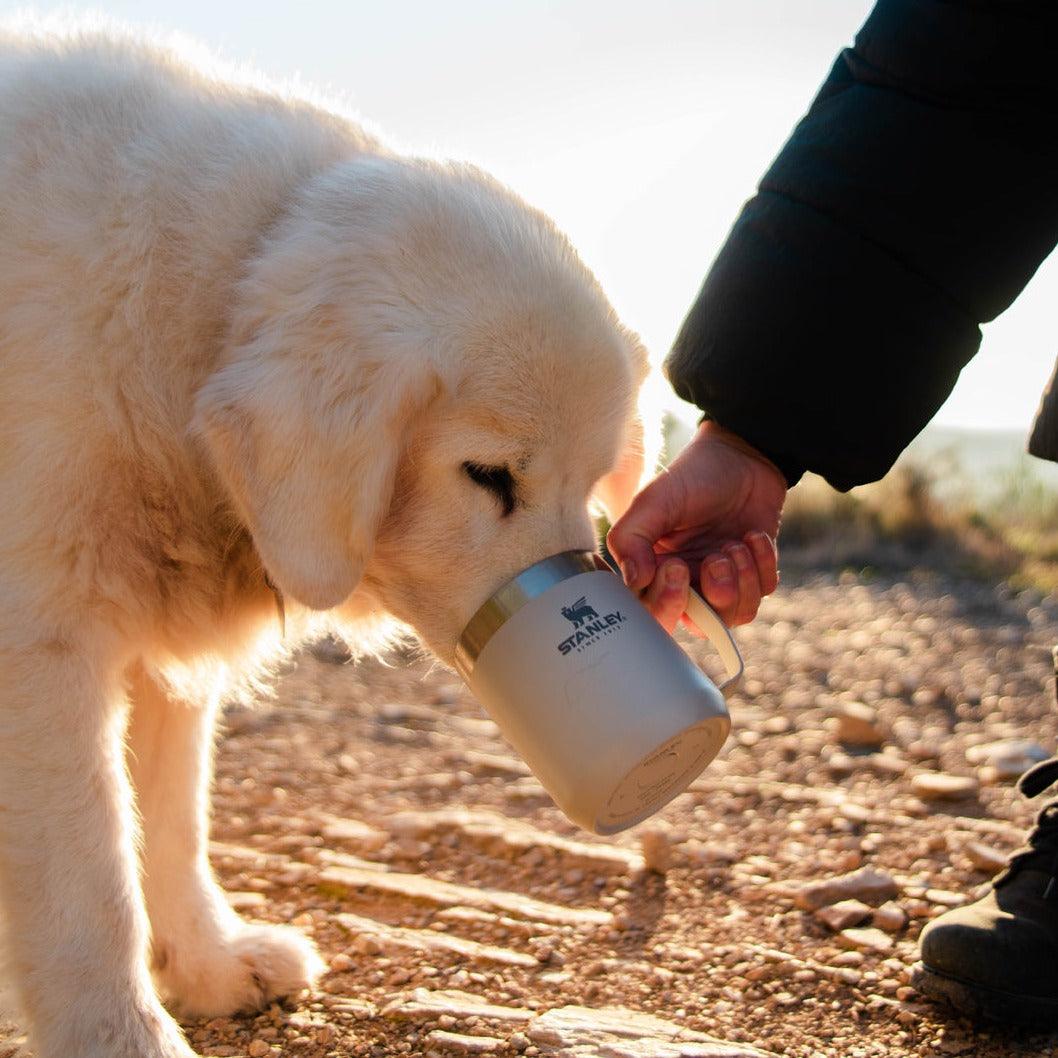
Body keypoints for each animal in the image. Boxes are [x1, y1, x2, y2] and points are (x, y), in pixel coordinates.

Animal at [0, 22, 647, 1058]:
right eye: (490, 477)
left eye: (589, 488)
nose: (569, 601)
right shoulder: (41, 649)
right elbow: (91, 880)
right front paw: (119, 1033)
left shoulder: (157, 651)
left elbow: (169, 823)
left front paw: (210, 961)